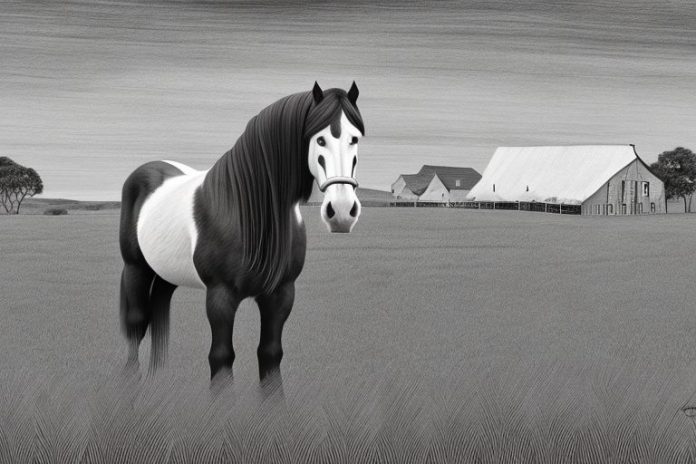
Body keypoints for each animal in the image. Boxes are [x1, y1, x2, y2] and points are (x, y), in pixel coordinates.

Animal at [119, 82, 364, 383]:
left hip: (167, 271)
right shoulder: (220, 295)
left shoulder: (281, 294)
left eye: (354, 138)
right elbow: (221, 357)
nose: (341, 212)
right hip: (135, 268)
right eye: (319, 140)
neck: (247, 211)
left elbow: (270, 353)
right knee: (136, 323)